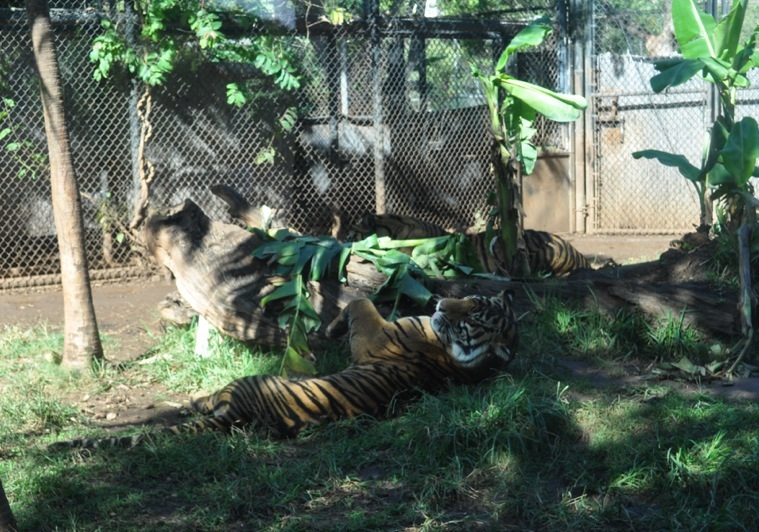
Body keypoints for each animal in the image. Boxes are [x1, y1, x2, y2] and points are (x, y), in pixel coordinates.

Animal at [49, 291, 518, 449]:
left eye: (471, 314)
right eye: (472, 299)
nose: (440, 304)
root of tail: (238, 416)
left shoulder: (375, 334)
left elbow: (360, 302)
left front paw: (329, 325)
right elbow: (361, 302)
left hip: (246, 382)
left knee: (205, 399)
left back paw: (189, 399)